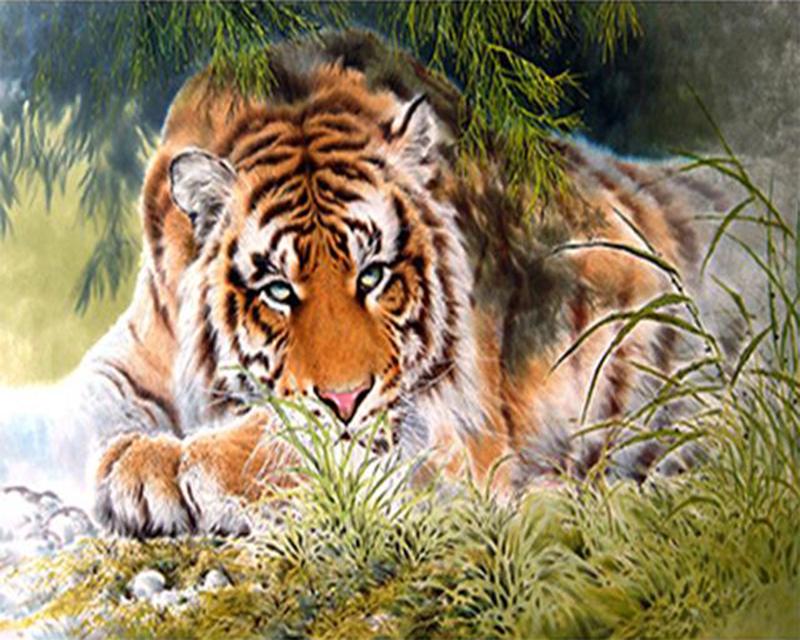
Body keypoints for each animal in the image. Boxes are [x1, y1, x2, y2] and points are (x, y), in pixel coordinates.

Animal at [0, 31, 732, 538]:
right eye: (277, 290)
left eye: (374, 274)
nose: (347, 397)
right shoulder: (131, 353)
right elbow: (87, 414)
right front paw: (125, 459)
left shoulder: (444, 424)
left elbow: (292, 437)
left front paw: (157, 466)